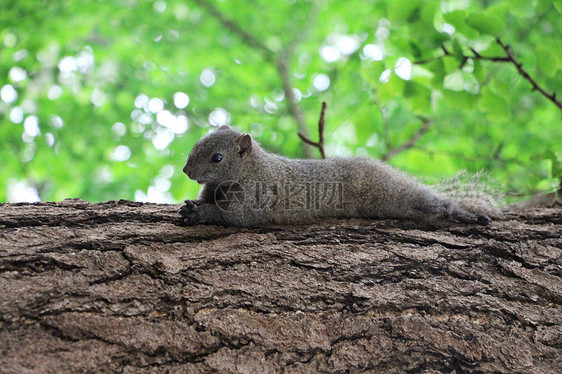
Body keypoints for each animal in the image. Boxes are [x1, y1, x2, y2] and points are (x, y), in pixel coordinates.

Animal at [179, 125, 490, 226]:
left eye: (217, 157)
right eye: (197, 142)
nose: (186, 170)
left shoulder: (258, 194)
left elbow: (236, 216)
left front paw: (200, 214)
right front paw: (190, 206)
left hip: (393, 193)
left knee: (432, 202)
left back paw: (466, 214)